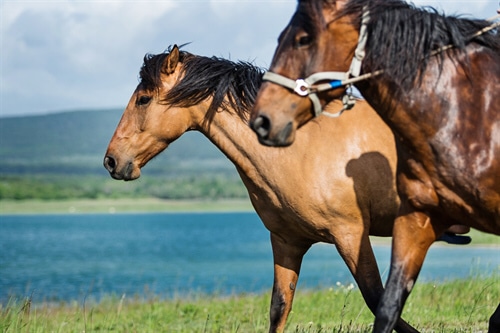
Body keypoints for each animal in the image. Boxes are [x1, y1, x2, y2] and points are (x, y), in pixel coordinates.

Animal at [104, 46, 468, 332]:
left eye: (143, 99)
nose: (111, 161)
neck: (301, 149)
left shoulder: (351, 234)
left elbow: (377, 299)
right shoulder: (286, 241)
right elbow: (279, 307)